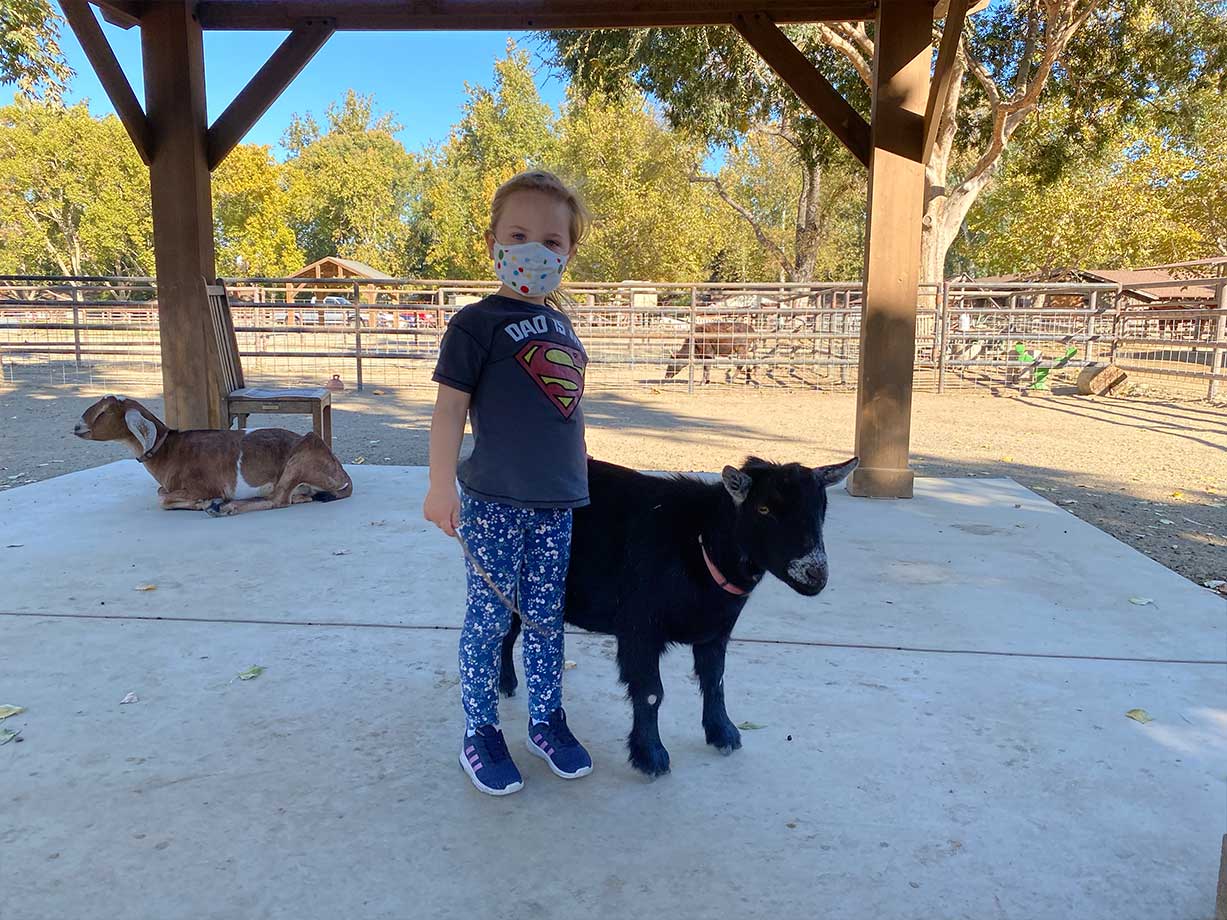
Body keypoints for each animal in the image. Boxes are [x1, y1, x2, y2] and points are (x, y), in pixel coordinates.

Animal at [75, 392, 355, 515]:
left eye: (104, 412)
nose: (77, 427)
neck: (170, 450)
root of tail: (342, 473)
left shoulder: (202, 485)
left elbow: (163, 498)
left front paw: (206, 503)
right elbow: (161, 493)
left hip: (299, 460)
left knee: (278, 500)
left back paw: (226, 507)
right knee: (291, 497)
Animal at [498, 453, 853, 780]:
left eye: (820, 509)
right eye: (763, 509)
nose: (815, 574)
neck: (700, 543)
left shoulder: (716, 632)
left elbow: (715, 680)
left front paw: (723, 733)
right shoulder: (639, 629)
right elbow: (651, 692)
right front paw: (651, 756)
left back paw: (508, 683)